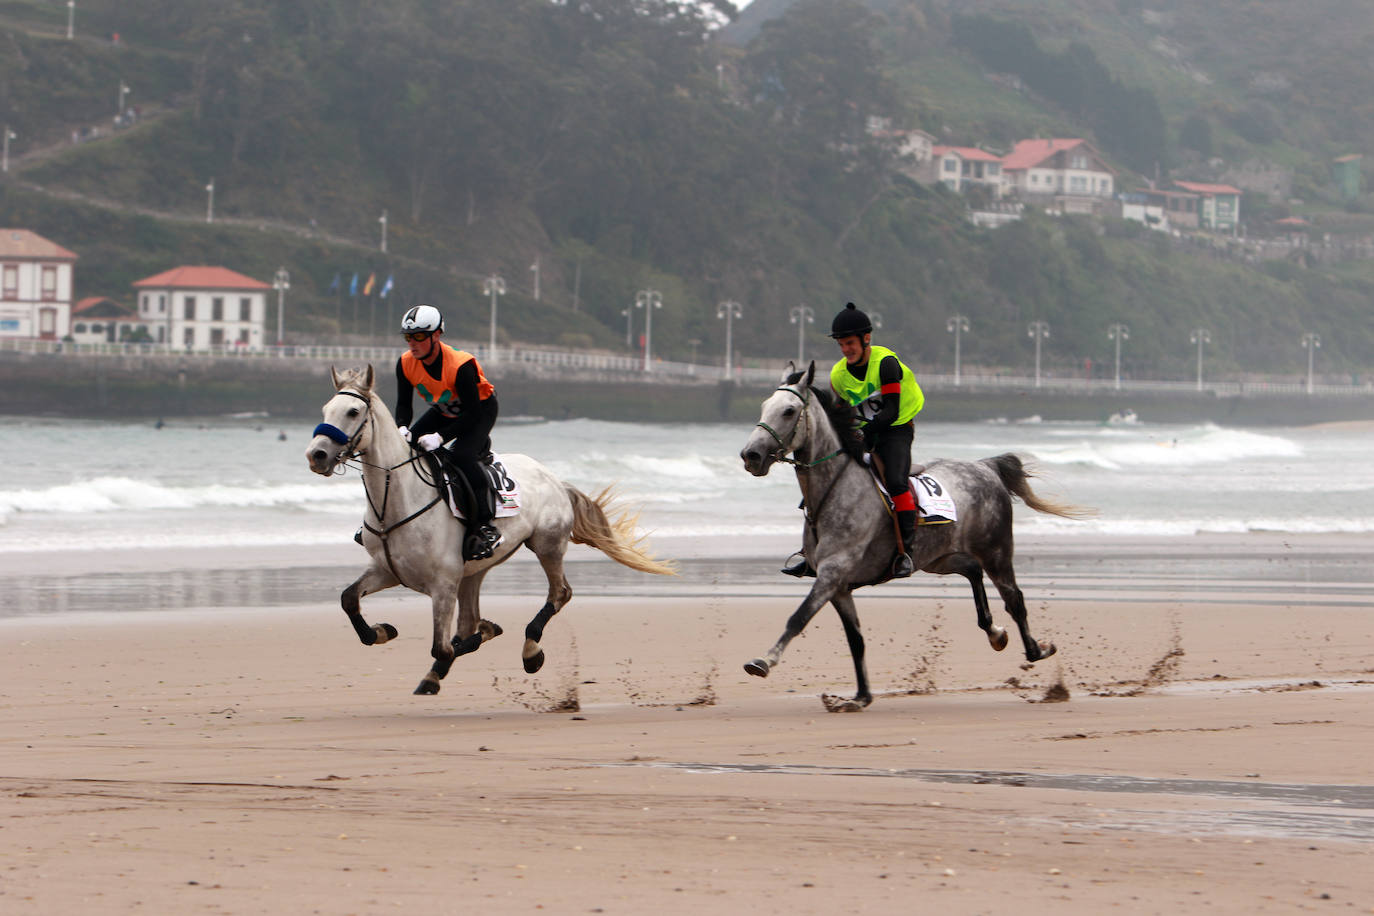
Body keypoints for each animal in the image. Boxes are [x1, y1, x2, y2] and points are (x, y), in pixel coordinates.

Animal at [309, 365, 678, 694]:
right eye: (326, 409)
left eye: (354, 411)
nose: (317, 455)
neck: (396, 499)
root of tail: (555, 479)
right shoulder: (389, 570)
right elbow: (349, 599)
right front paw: (382, 631)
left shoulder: (442, 584)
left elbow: (443, 646)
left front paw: (487, 634)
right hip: (474, 572)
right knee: (471, 618)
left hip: (546, 545)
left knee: (559, 594)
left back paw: (530, 651)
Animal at [741, 362, 1082, 714]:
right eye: (765, 406)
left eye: (789, 410)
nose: (750, 455)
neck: (835, 489)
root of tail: (985, 467)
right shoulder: (839, 586)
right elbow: (856, 640)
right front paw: (861, 696)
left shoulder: (832, 574)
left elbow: (798, 618)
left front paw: (763, 662)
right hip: (937, 558)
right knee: (972, 570)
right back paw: (994, 632)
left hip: (996, 551)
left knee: (1014, 598)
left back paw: (1036, 650)